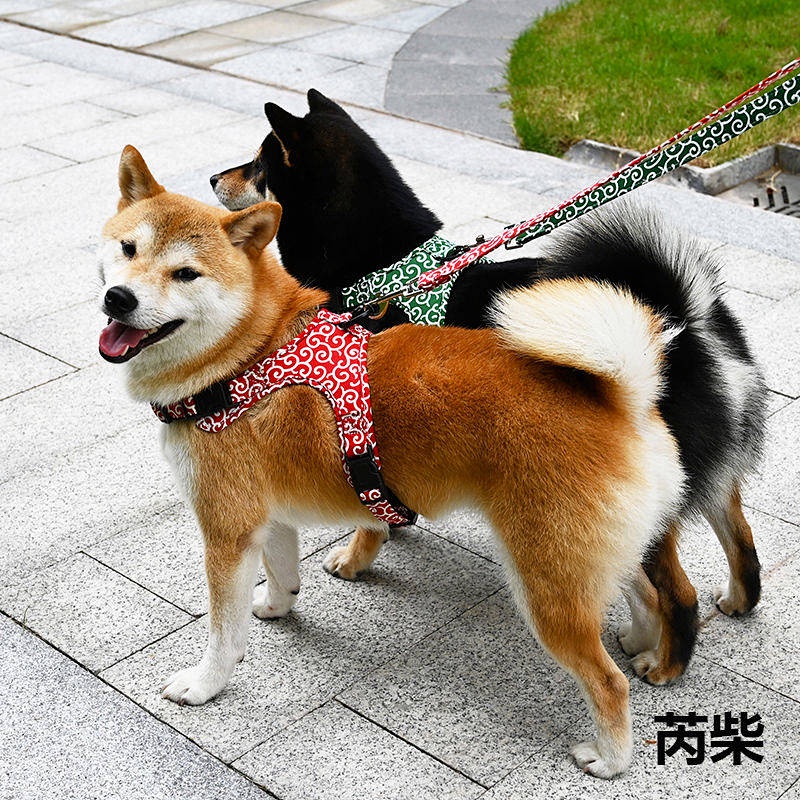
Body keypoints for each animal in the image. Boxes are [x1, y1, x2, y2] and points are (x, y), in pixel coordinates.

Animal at [97, 147, 684, 780]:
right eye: (128, 248)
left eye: (186, 274)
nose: (119, 299)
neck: (242, 355)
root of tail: (622, 399)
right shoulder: (266, 517)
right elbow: (281, 572)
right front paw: (278, 607)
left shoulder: (226, 529)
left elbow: (223, 632)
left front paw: (204, 686)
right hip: (588, 556)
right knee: (644, 592)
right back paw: (643, 643)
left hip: (545, 583)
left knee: (608, 682)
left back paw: (610, 757)